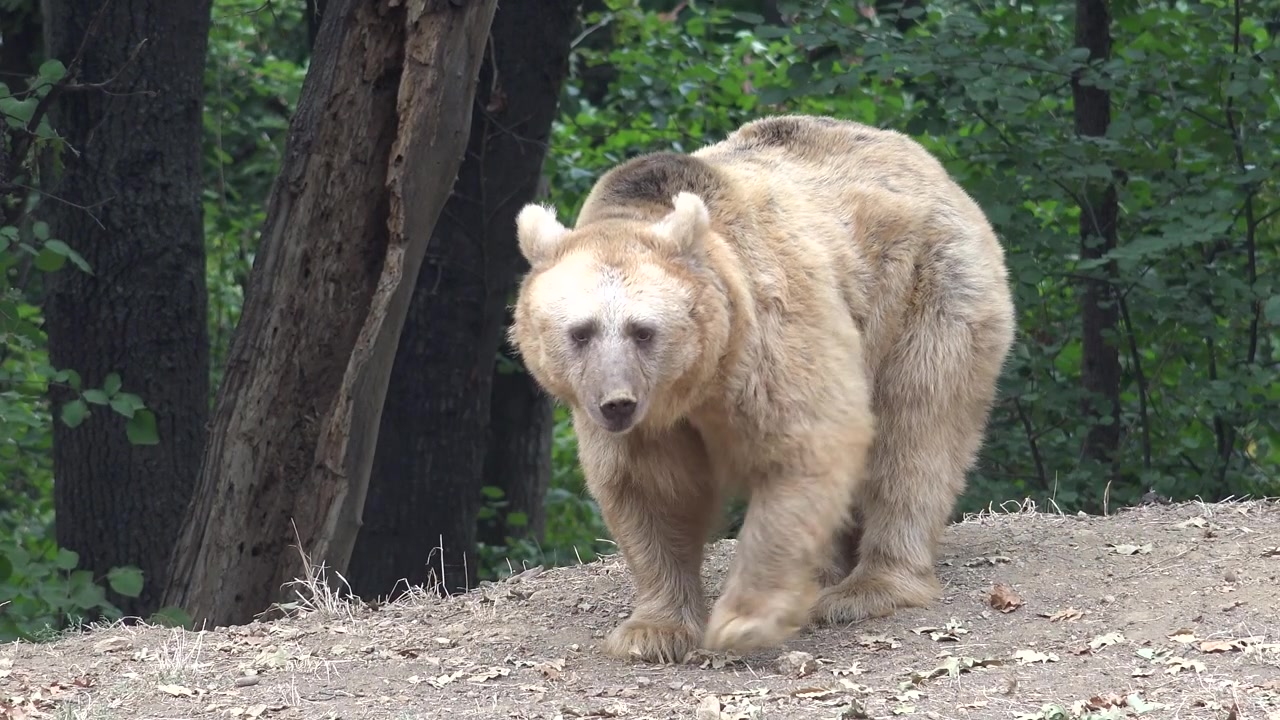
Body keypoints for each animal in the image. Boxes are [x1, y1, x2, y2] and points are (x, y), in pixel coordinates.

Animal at [509, 114, 1016, 663]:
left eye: (642, 330)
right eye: (580, 332)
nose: (616, 404)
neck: (698, 383)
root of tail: (931, 165)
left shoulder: (769, 332)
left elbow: (806, 448)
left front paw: (742, 620)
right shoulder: (647, 424)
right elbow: (650, 490)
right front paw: (653, 631)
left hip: (925, 295)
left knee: (916, 432)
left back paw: (869, 587)